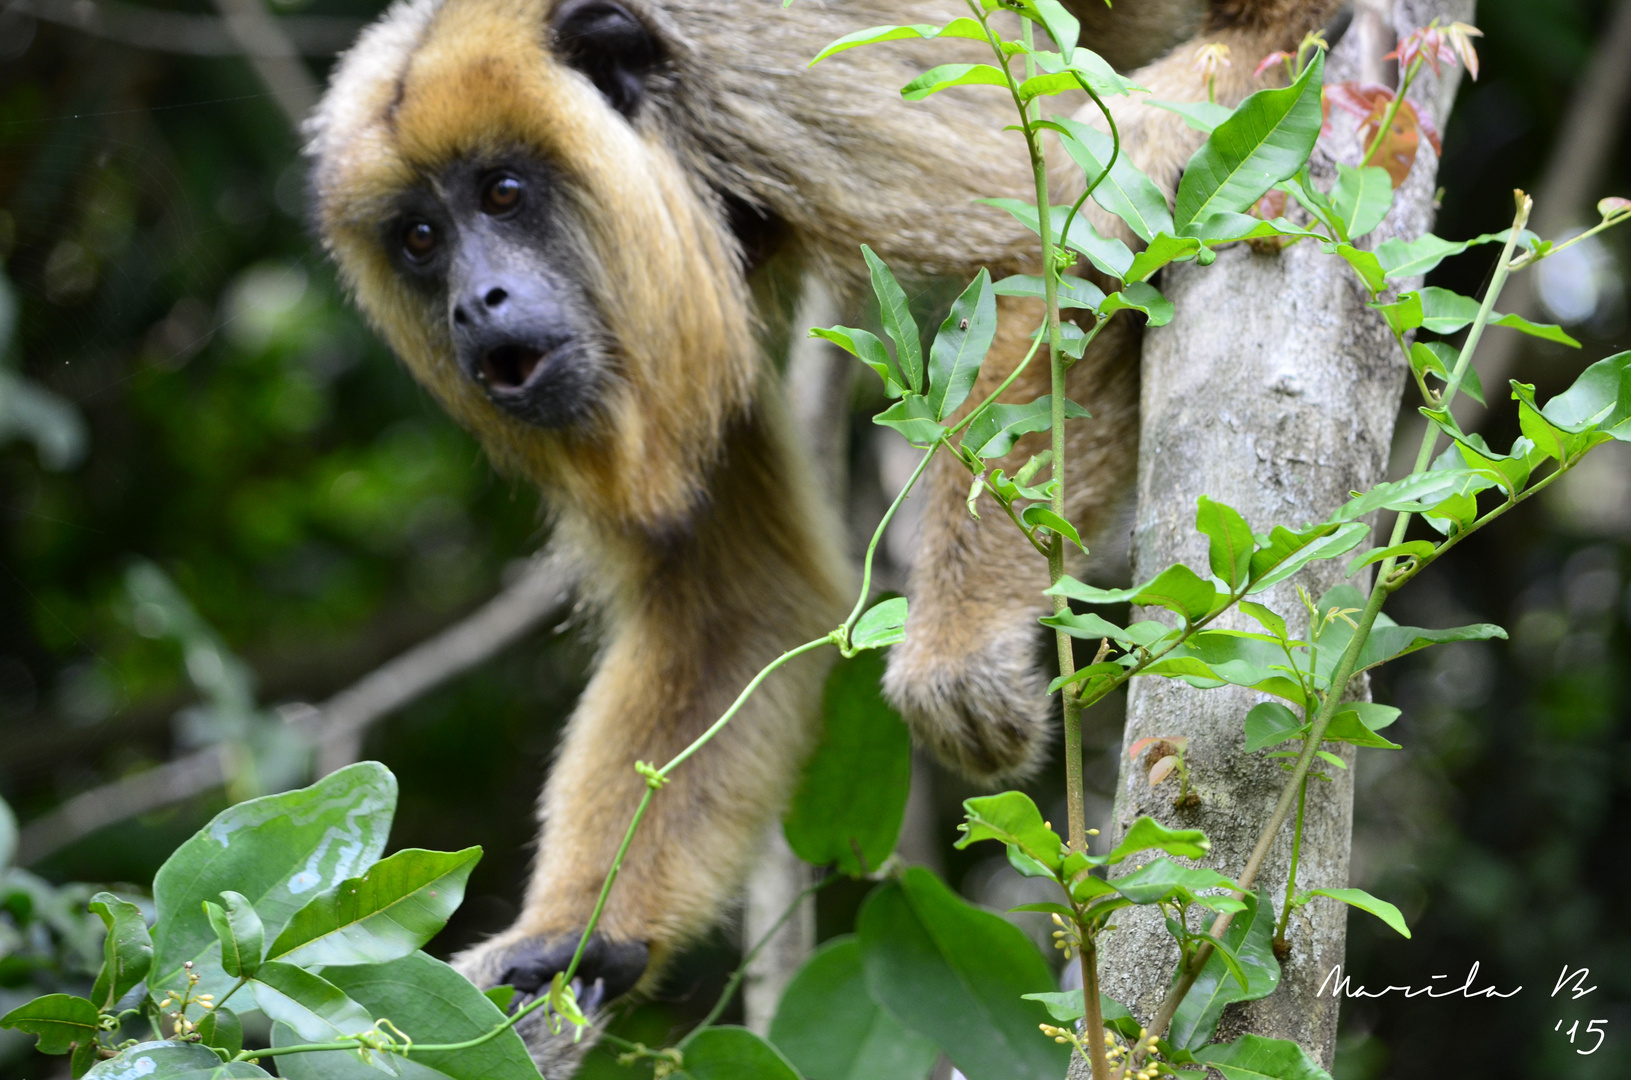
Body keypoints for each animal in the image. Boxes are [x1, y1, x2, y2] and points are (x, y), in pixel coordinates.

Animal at [306, 0, 1337, 1070]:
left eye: (503, 193)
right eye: (421, 239)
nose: (474, 304)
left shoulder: (772, 89)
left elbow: (1071, 235)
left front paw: (957, 650)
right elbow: (737, 605)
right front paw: (570, 946)